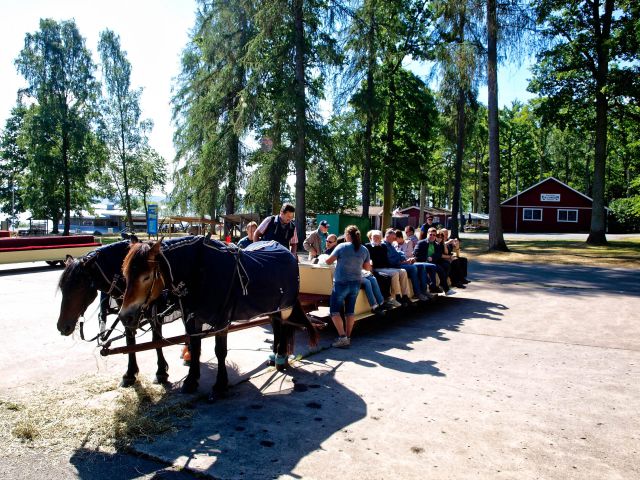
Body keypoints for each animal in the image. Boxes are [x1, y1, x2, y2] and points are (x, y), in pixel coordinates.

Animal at [57, 240, 178, 386]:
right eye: (62, 287)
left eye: (80, 286)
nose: (62, 327)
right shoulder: (127, 315)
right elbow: (130, 341)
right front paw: (130, 373)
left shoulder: (155, 314)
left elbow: (157, 341)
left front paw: (161, 372)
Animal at [118, 237, 320, 402]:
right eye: (125, 275)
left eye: (146, 277)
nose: (125, 316)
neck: (199, 271)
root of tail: (288, 252)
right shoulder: (192, 319)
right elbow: (196, 348)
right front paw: (191, 381)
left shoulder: (221, 321)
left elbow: (220, 351)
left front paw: (220, 385)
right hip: (273, 307)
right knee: (276, 326)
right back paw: (274, 356)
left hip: (285, 307)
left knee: (284, 328)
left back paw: (281, 358)